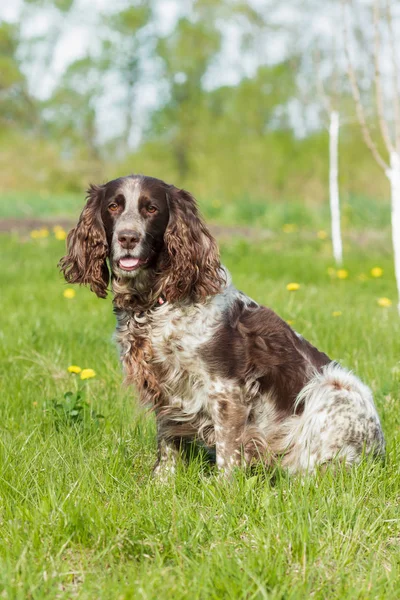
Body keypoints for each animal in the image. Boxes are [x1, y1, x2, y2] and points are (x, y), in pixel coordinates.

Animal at [59, 173, 384, 478]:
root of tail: (380, 451)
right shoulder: (166, 385)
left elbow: (228, 451)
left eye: (151, 208)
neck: (154, 304)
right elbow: (167, 442)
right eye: (113, 206)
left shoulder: (226, 389)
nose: (127, 238)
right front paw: (162, 482)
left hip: (330, 386)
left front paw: (224, 489)